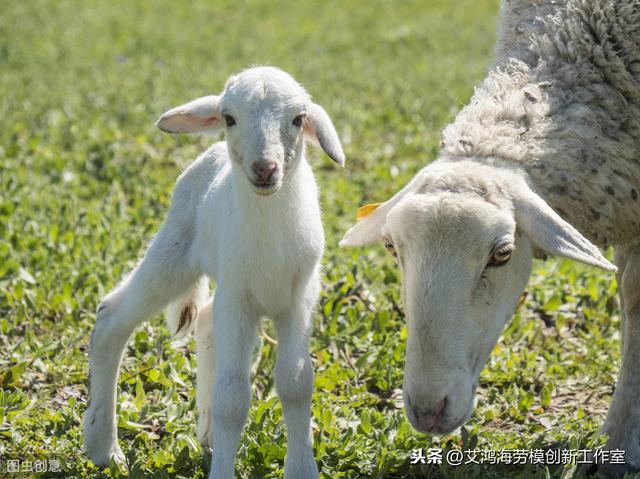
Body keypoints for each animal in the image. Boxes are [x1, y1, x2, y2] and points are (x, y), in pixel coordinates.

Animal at [85, 66, 348, 479]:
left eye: (298, 119)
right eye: (229, 118)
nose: (265, 168)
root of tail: (209, 154)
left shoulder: (299, 297)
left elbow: (296, 383)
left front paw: (302, 468)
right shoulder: (238, 298)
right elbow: (233, 397)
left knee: (205, 320)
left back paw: (206, 436)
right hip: (175, 251)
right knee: (112, 317)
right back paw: (104, 447)